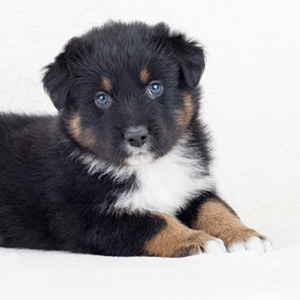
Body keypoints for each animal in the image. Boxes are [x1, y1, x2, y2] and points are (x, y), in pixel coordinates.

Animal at [0, 21, 272, 255]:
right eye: (102, 98)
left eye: (155, 87)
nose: (137, 136)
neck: (149, 168)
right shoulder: (87, 218)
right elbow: (155, 221)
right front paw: (197, 240)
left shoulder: (193, 187)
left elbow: (217, 207)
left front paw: (244, 236)